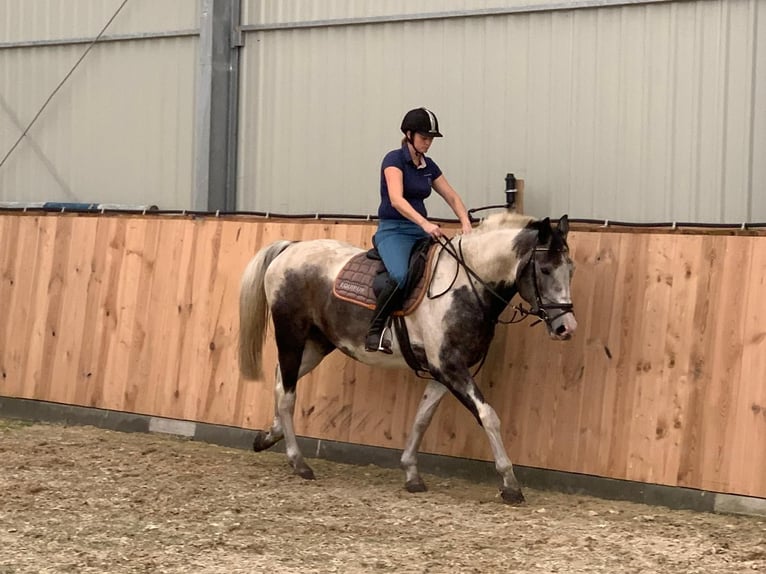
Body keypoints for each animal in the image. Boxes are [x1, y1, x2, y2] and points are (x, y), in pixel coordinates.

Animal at [240, 213, 576, 504]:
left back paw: (268, 436)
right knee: (288, 393)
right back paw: (299, 462)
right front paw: (510, 484)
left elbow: (422, 418)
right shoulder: (450, 367)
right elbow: (488, 415)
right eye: (545, 269)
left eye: (570, 269)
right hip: (292, 336)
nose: (566, 328)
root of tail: (291, 248)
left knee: (281, 382)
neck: (466, 287)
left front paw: (412, 473)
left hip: (317, 345)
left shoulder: (444, 371)